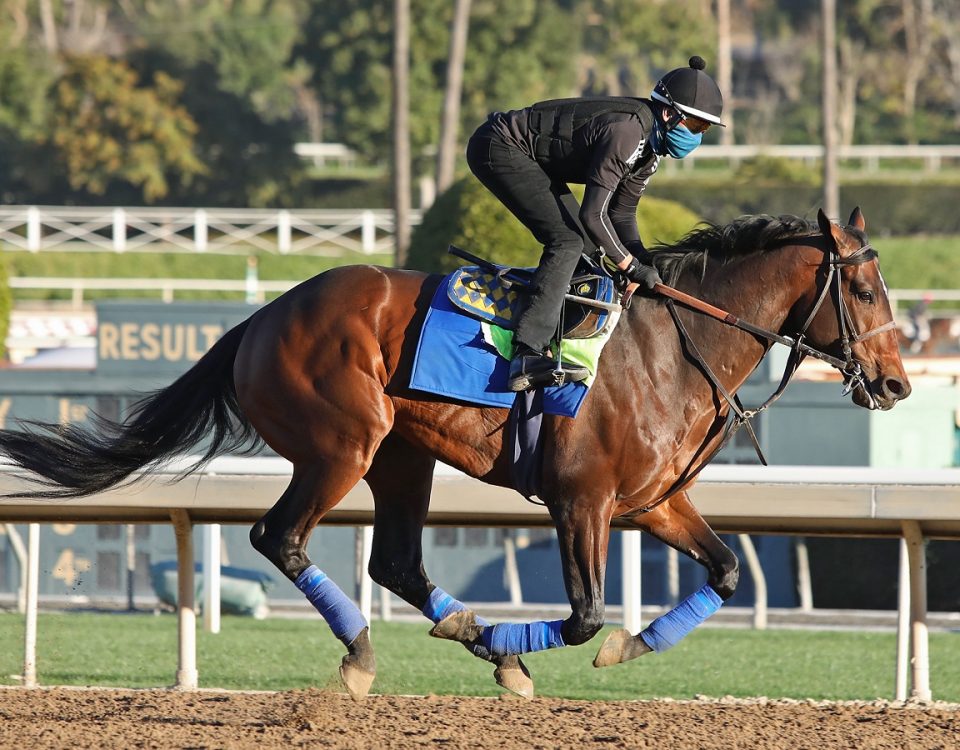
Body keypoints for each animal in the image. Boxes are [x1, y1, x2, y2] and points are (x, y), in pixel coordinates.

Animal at [0, 206, 908, 700]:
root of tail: (260, 317)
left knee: (395, 562)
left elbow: (723, 572)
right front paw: (553, 651)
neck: (672, 346)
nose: (896, 383)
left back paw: (473, 633)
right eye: (865, 290)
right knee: (279, 538)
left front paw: (627, 647)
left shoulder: (652, 501)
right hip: (342, 444)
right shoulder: (582, 501)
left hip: (403, 456)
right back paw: (368, 654)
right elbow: (582, 615)